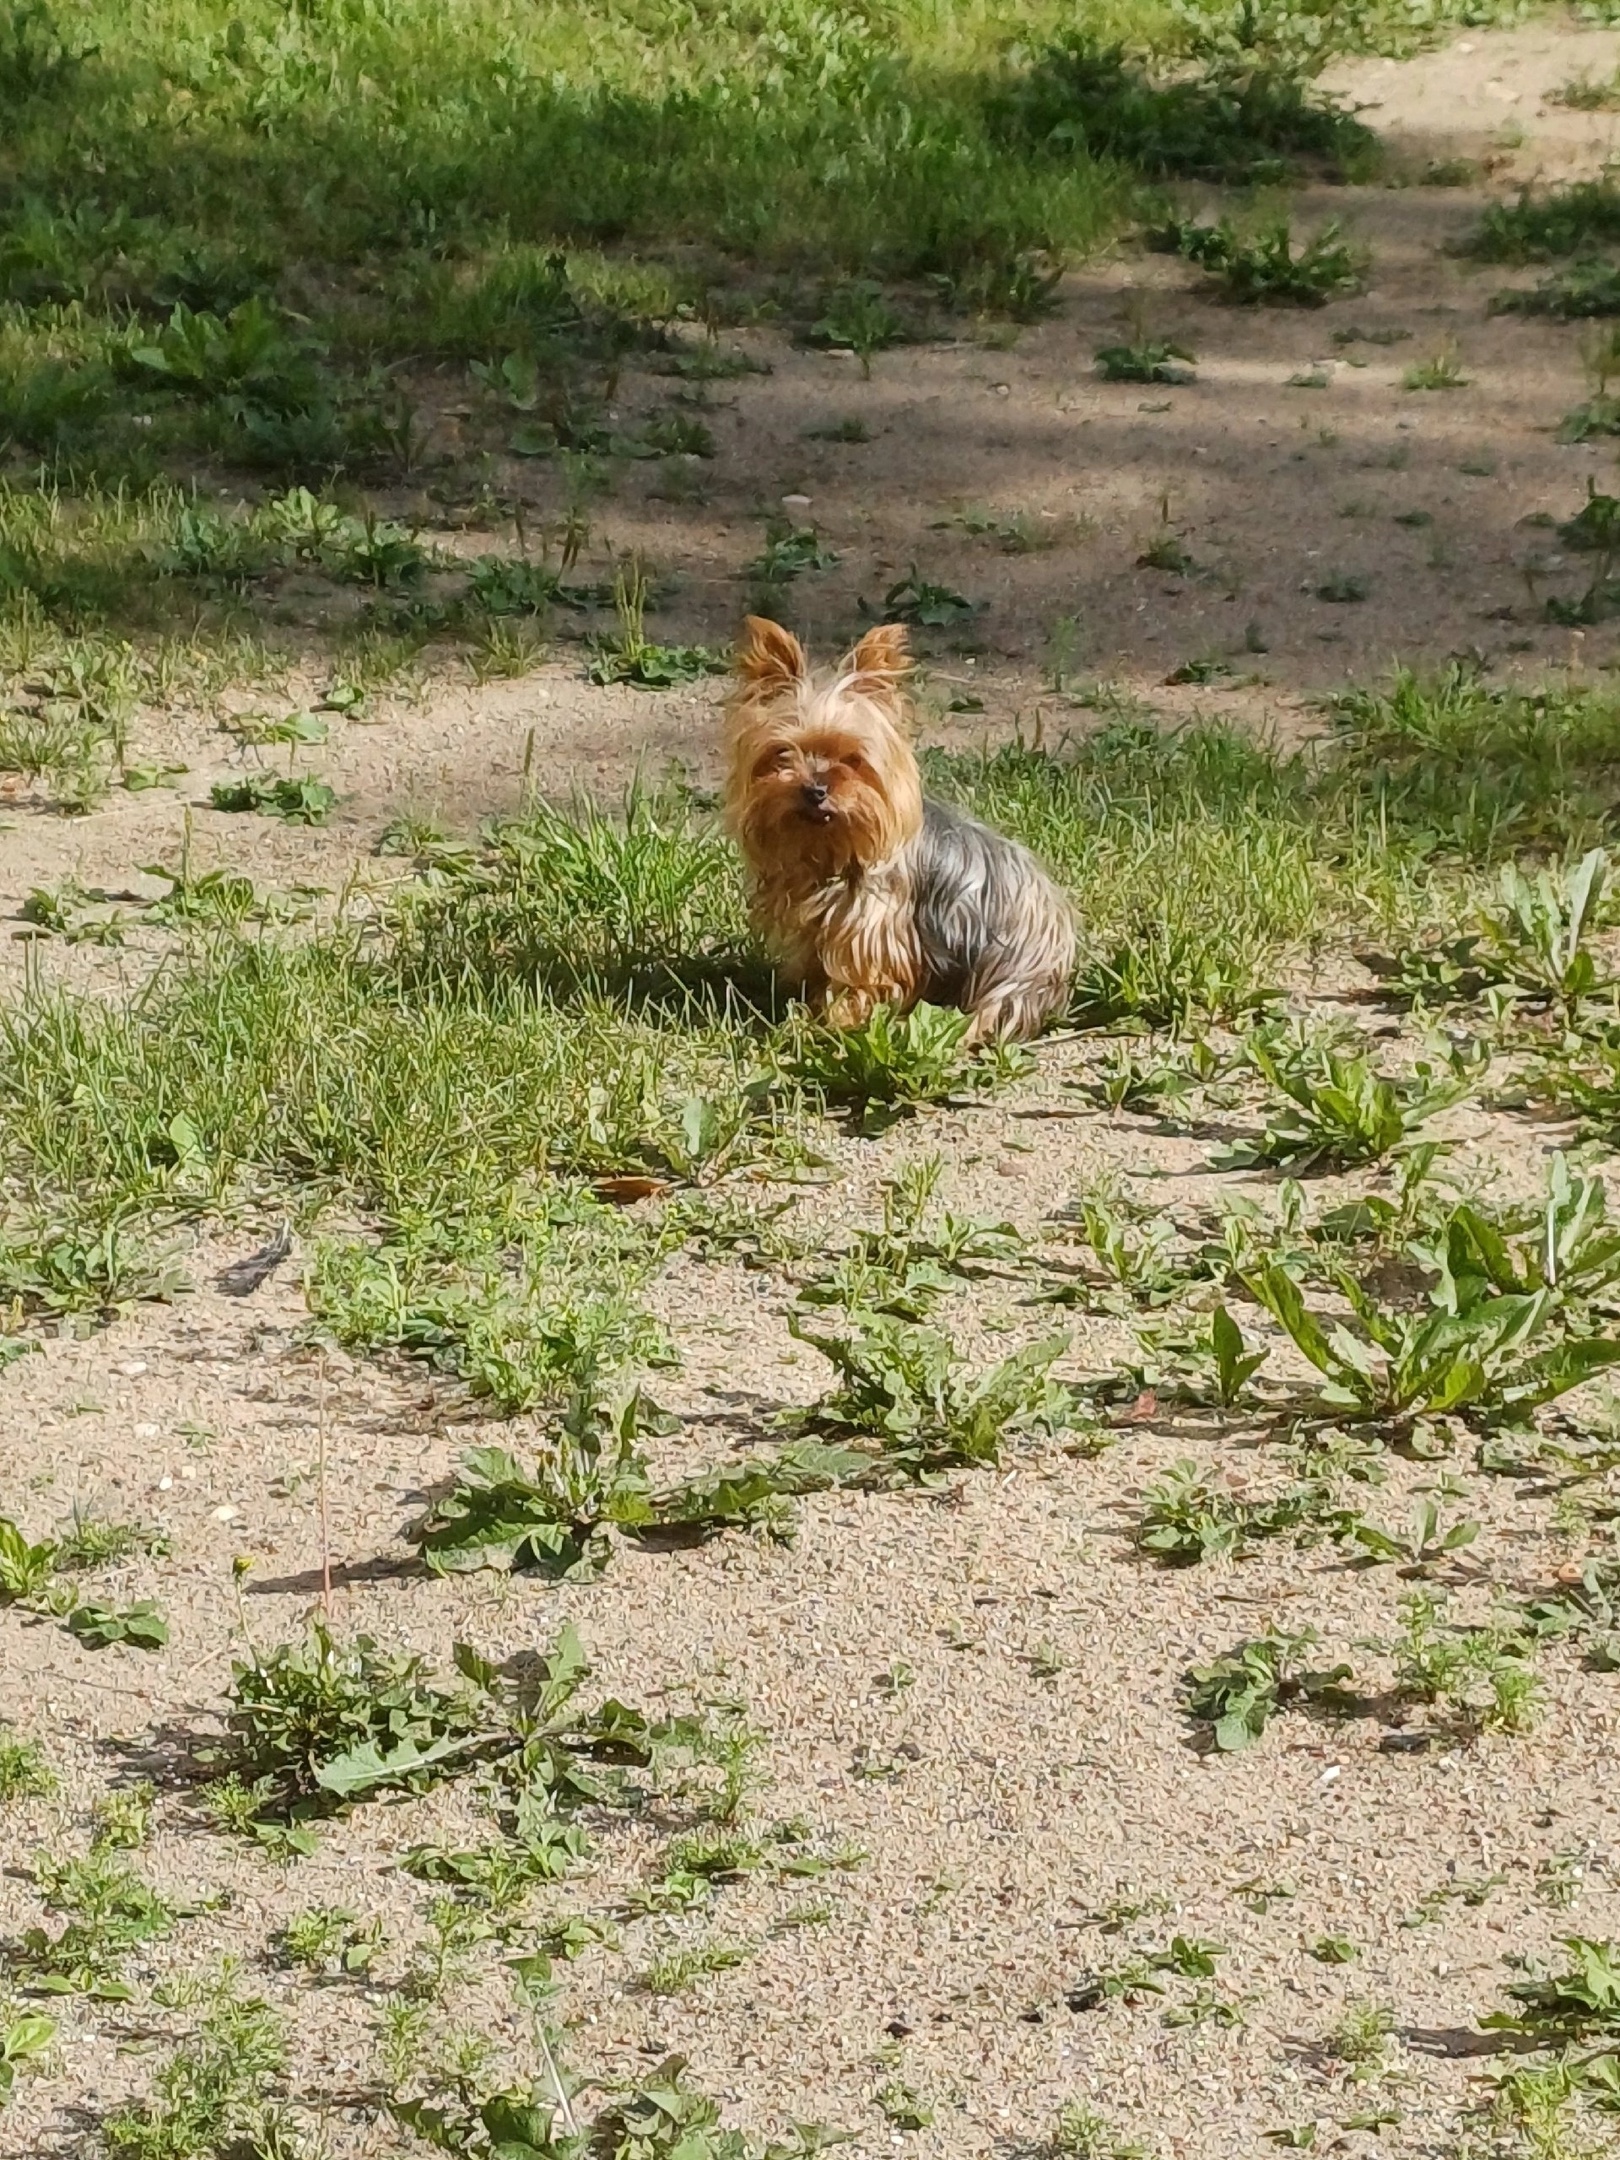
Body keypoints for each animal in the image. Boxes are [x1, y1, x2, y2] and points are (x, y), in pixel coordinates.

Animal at [721, 617, 1080, 1045]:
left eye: (853, 759)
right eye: (782, 754)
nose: (815, 790)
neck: (829, 850)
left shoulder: (874, 933)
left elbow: (859, 987)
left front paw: (833, 1024)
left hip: (1005, 980)